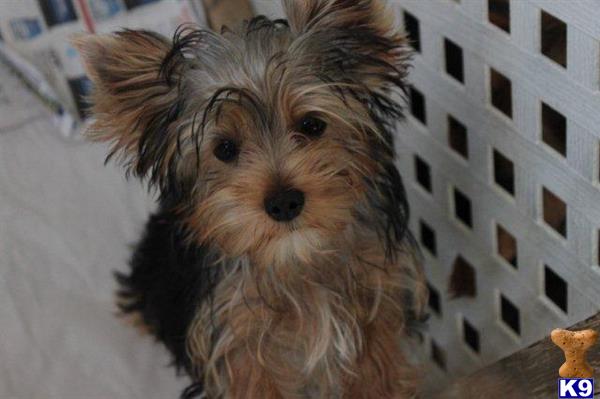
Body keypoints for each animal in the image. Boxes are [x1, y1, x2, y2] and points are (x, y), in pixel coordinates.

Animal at [75, 1, 426, 398]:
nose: (284, 202)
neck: (295, 256)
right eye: (224, 149)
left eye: (312, 125)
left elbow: (378, 366)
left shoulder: (380, 294)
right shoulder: (234, 339)